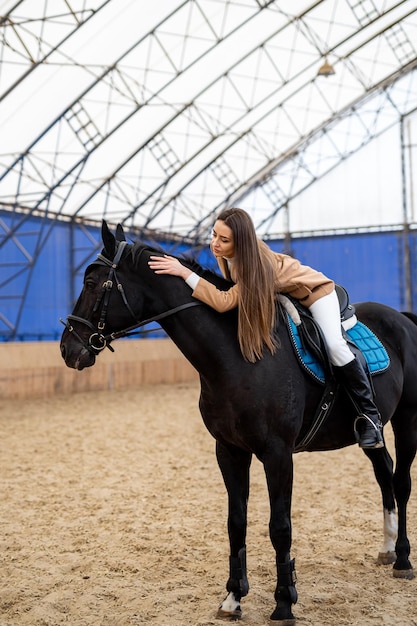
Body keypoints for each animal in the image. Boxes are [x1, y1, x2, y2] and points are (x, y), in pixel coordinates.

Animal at [59, 222, 416, 620]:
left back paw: (403, 559)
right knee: (383, 472)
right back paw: (387, 549)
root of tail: (403, 318)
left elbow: (280, 527)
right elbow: (236, 522)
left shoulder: (277, 454)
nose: (67, 349)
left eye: (92, 282)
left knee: (401, 481)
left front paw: (284, 602)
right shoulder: (229, 450)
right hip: (371, 429)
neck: (239, 355)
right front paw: (233, 597)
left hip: (407, 419)